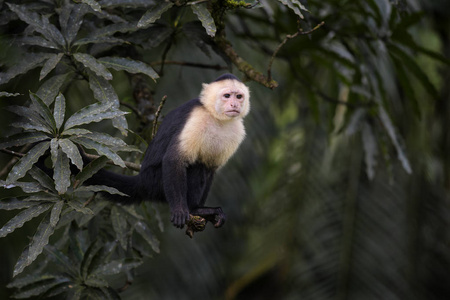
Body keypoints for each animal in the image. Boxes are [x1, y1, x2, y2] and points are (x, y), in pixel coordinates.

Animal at [88, 74, 250, 229]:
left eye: (239, 96)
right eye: (227, 96)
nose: (234, 104)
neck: (216, 116)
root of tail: (142, 180)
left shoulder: (238, 131)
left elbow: (211, 168)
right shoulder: (197, 118)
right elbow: (174, 159)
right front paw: (182, 209)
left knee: (204, 167)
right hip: (156, 181)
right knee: (196, 166)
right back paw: (194, 209)